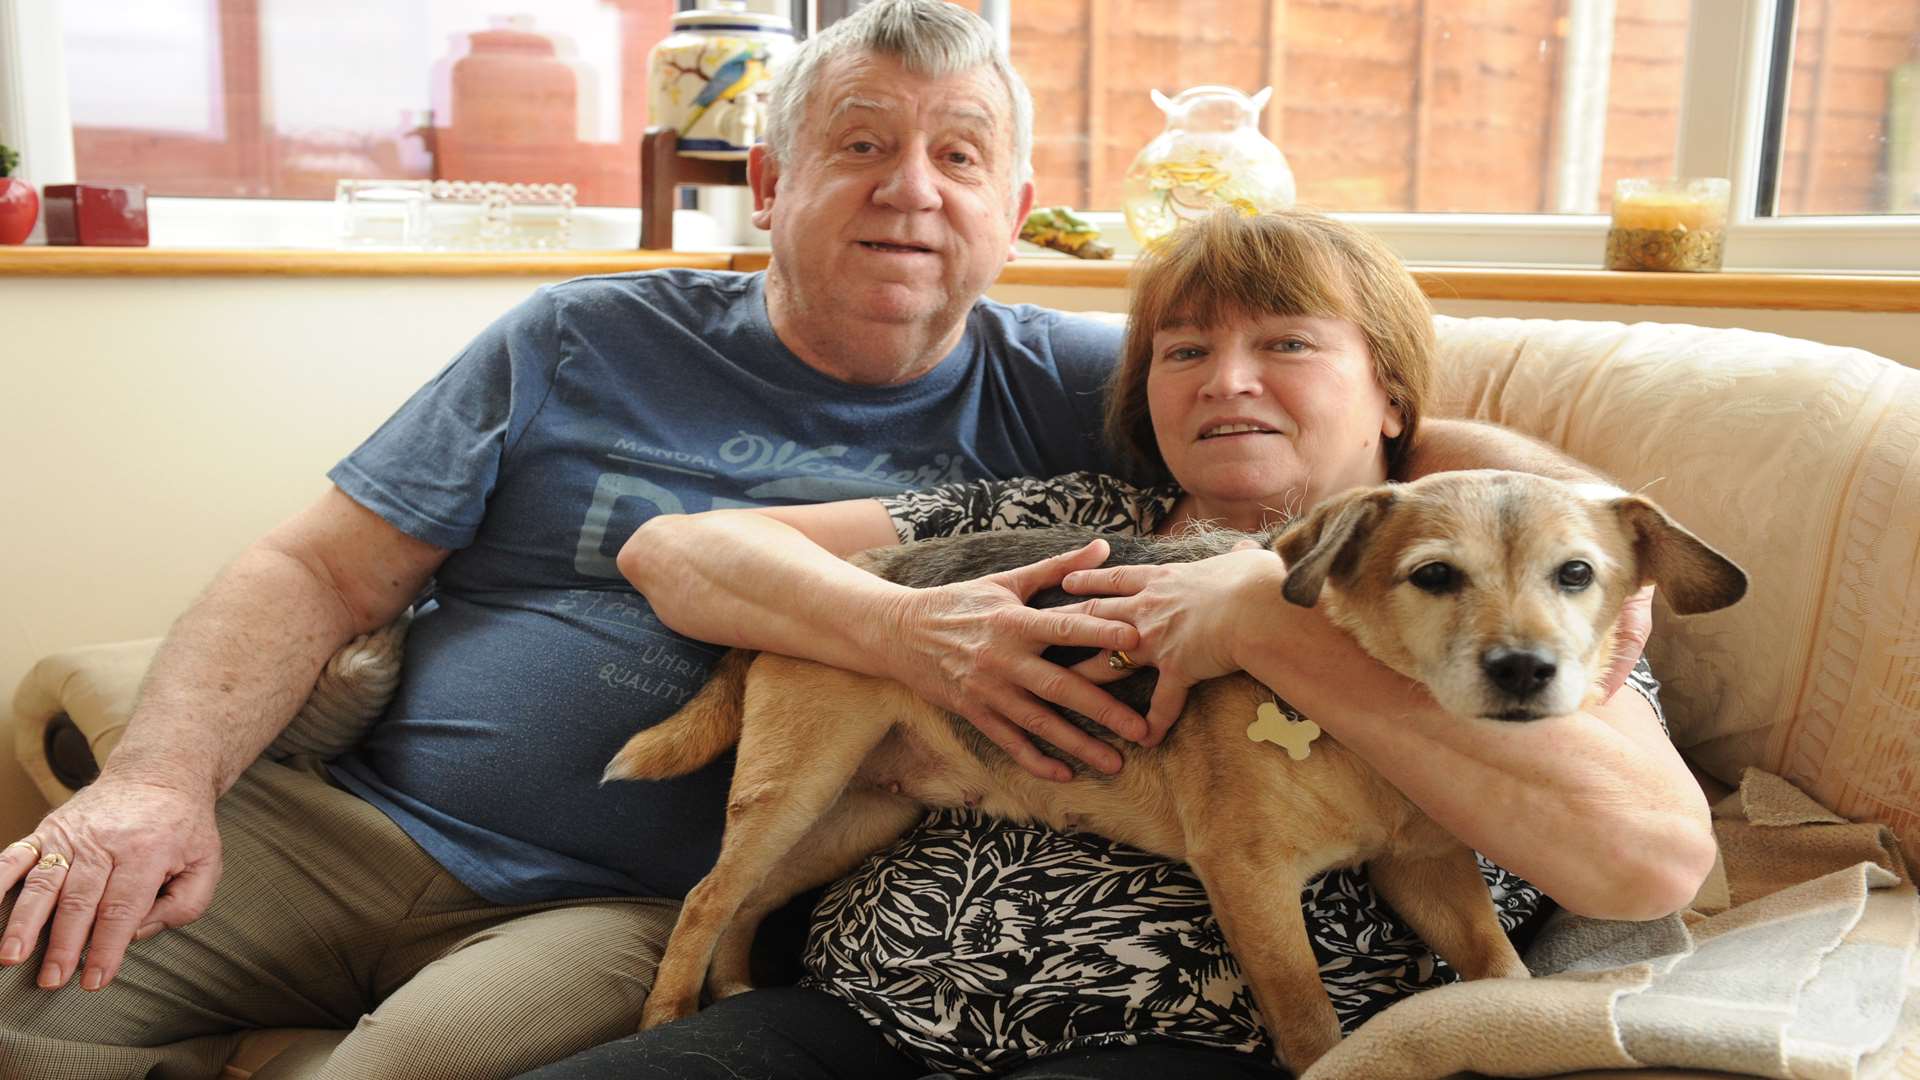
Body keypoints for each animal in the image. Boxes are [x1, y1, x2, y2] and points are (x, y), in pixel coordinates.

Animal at [606, 470, 1751, 1068]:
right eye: (1435, 577)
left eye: (1577, 576)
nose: (1526, 671)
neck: (1366, 731)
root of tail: (865, 566)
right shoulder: (1250, 882)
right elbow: (1310, 1019)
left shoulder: (1427, 870)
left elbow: (1499, 971)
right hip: (794, 790)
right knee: (704, 898)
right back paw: (666, 1012)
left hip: (851, 817)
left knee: (746, 902)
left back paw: (735, 982)